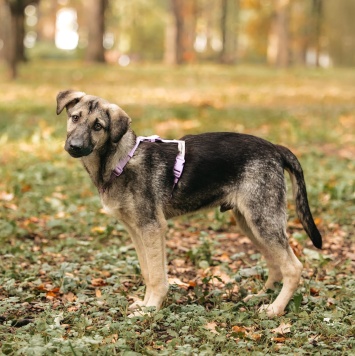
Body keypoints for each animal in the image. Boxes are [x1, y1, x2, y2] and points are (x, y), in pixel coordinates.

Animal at [55, 89, 322, 318]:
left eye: (98, 126)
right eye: (75, 117)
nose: (74, 147)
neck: (120, 159)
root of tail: (275, 149)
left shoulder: (152, 227)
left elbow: (157, 276)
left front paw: (150, 309)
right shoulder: (136, 230)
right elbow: (148, 271)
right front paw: (145, 304)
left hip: (262, 219)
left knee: (293, 267)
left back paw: (275, 309)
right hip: (250, 223)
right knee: (276, 264)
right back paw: (262, 297)